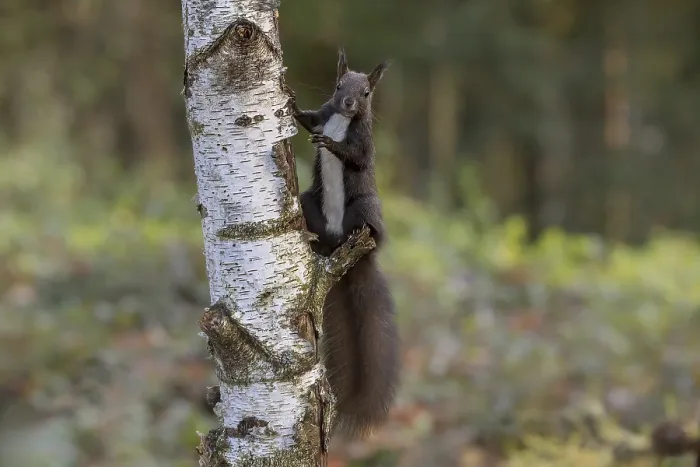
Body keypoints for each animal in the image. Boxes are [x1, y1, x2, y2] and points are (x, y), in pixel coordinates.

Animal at [287, 49, 400, 437]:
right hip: (310, 202)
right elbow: (309, 120)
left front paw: (332, 145)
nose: (348, 102)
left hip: (365, 208)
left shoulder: (365, 143)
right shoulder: (324, 114)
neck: (341, 121)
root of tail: (340, 244)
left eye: (366, 93)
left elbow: (355, 156)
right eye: (338, 85)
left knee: (372, 230)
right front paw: (292, 104)